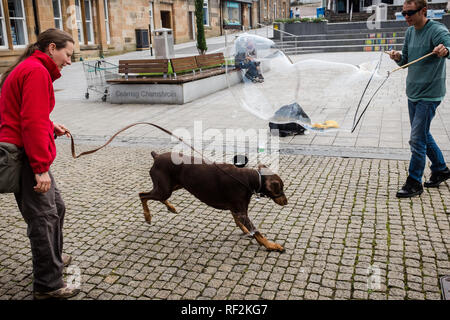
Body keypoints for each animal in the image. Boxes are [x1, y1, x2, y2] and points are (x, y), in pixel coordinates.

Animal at [138, 152, 288, 252]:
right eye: (281, 188)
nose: (286, 202)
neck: (249, 179)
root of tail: (157, 156)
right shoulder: (240, 210)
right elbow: (257, 232)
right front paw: (272, 245)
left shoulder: (236, 208)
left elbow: (239, 222)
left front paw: (246, 231)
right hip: (165, 188)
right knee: (142, 195)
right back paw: (147, 216)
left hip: (174, 185)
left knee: (156, 197)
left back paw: (171, 208)